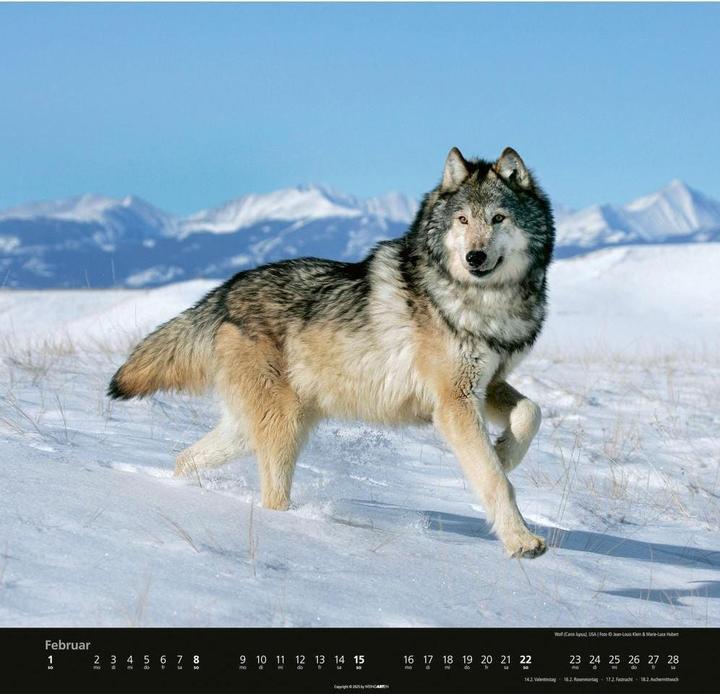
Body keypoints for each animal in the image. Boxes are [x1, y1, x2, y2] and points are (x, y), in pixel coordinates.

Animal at [108, 146, 554, 558]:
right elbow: (494, 481)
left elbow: (531, 413)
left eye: (498, 218)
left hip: (250, 430)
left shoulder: (488, 383)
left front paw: (505, 452)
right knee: (272, 498)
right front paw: (522, 541)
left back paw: (184, 489)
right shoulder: (453, 401)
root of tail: (226, 292)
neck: (482, 301)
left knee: (185, 457)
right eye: (462, 220)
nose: (474, 257)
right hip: (283, 428)